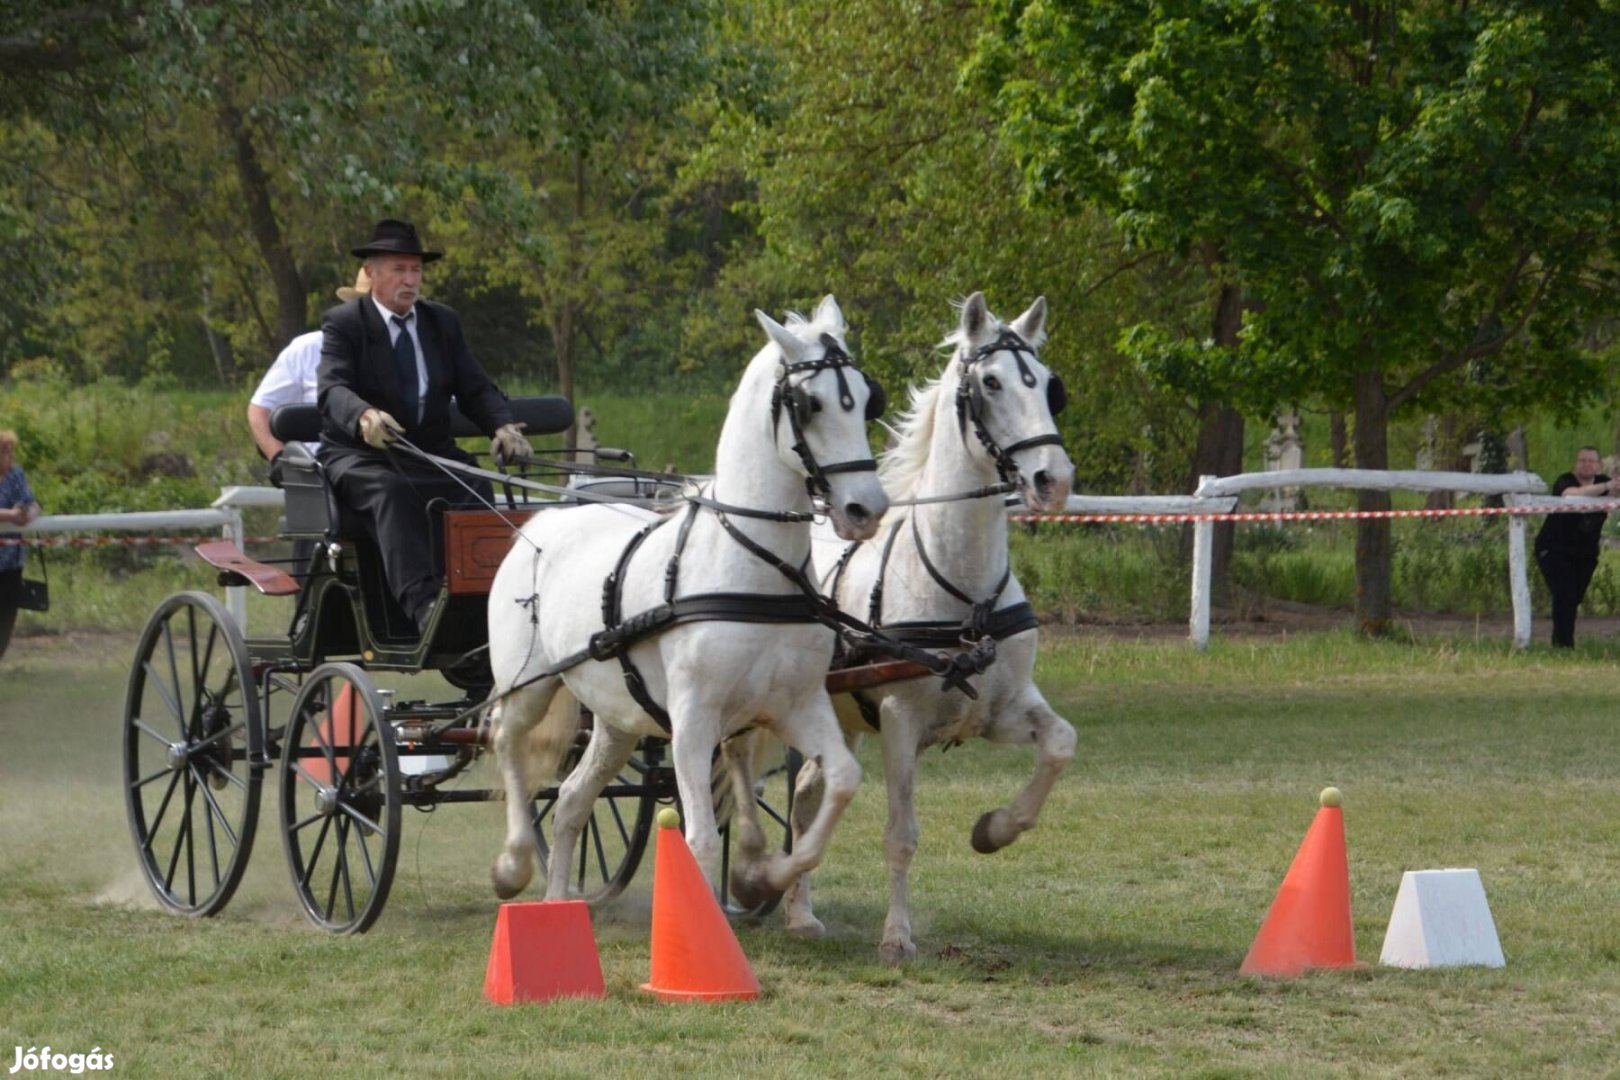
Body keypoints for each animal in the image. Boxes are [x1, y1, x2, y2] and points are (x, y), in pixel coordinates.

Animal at [482, 296, 887, 906]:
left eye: (866, 398)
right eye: (809, 403)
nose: (867, 509)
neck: (750, 569)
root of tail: (543, 520)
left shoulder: (796, 704)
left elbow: (841, 781)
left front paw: (762, 877)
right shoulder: (694, 720)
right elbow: (699, 840)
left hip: (616, 719)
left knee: (573, 800)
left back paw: (558, 904)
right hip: (527, 684)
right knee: (507, 743)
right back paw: (511, 863)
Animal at [767, 293, 1082, 965]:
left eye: (1048, 384)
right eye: (990, 383)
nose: (1054, 479)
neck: (965, 594)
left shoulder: (1001, 709)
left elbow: (1060, 745)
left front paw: (995, 829)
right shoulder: (898, 721)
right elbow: (901, 834)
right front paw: (896, 936)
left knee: (806, 793)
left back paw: (799, 914)